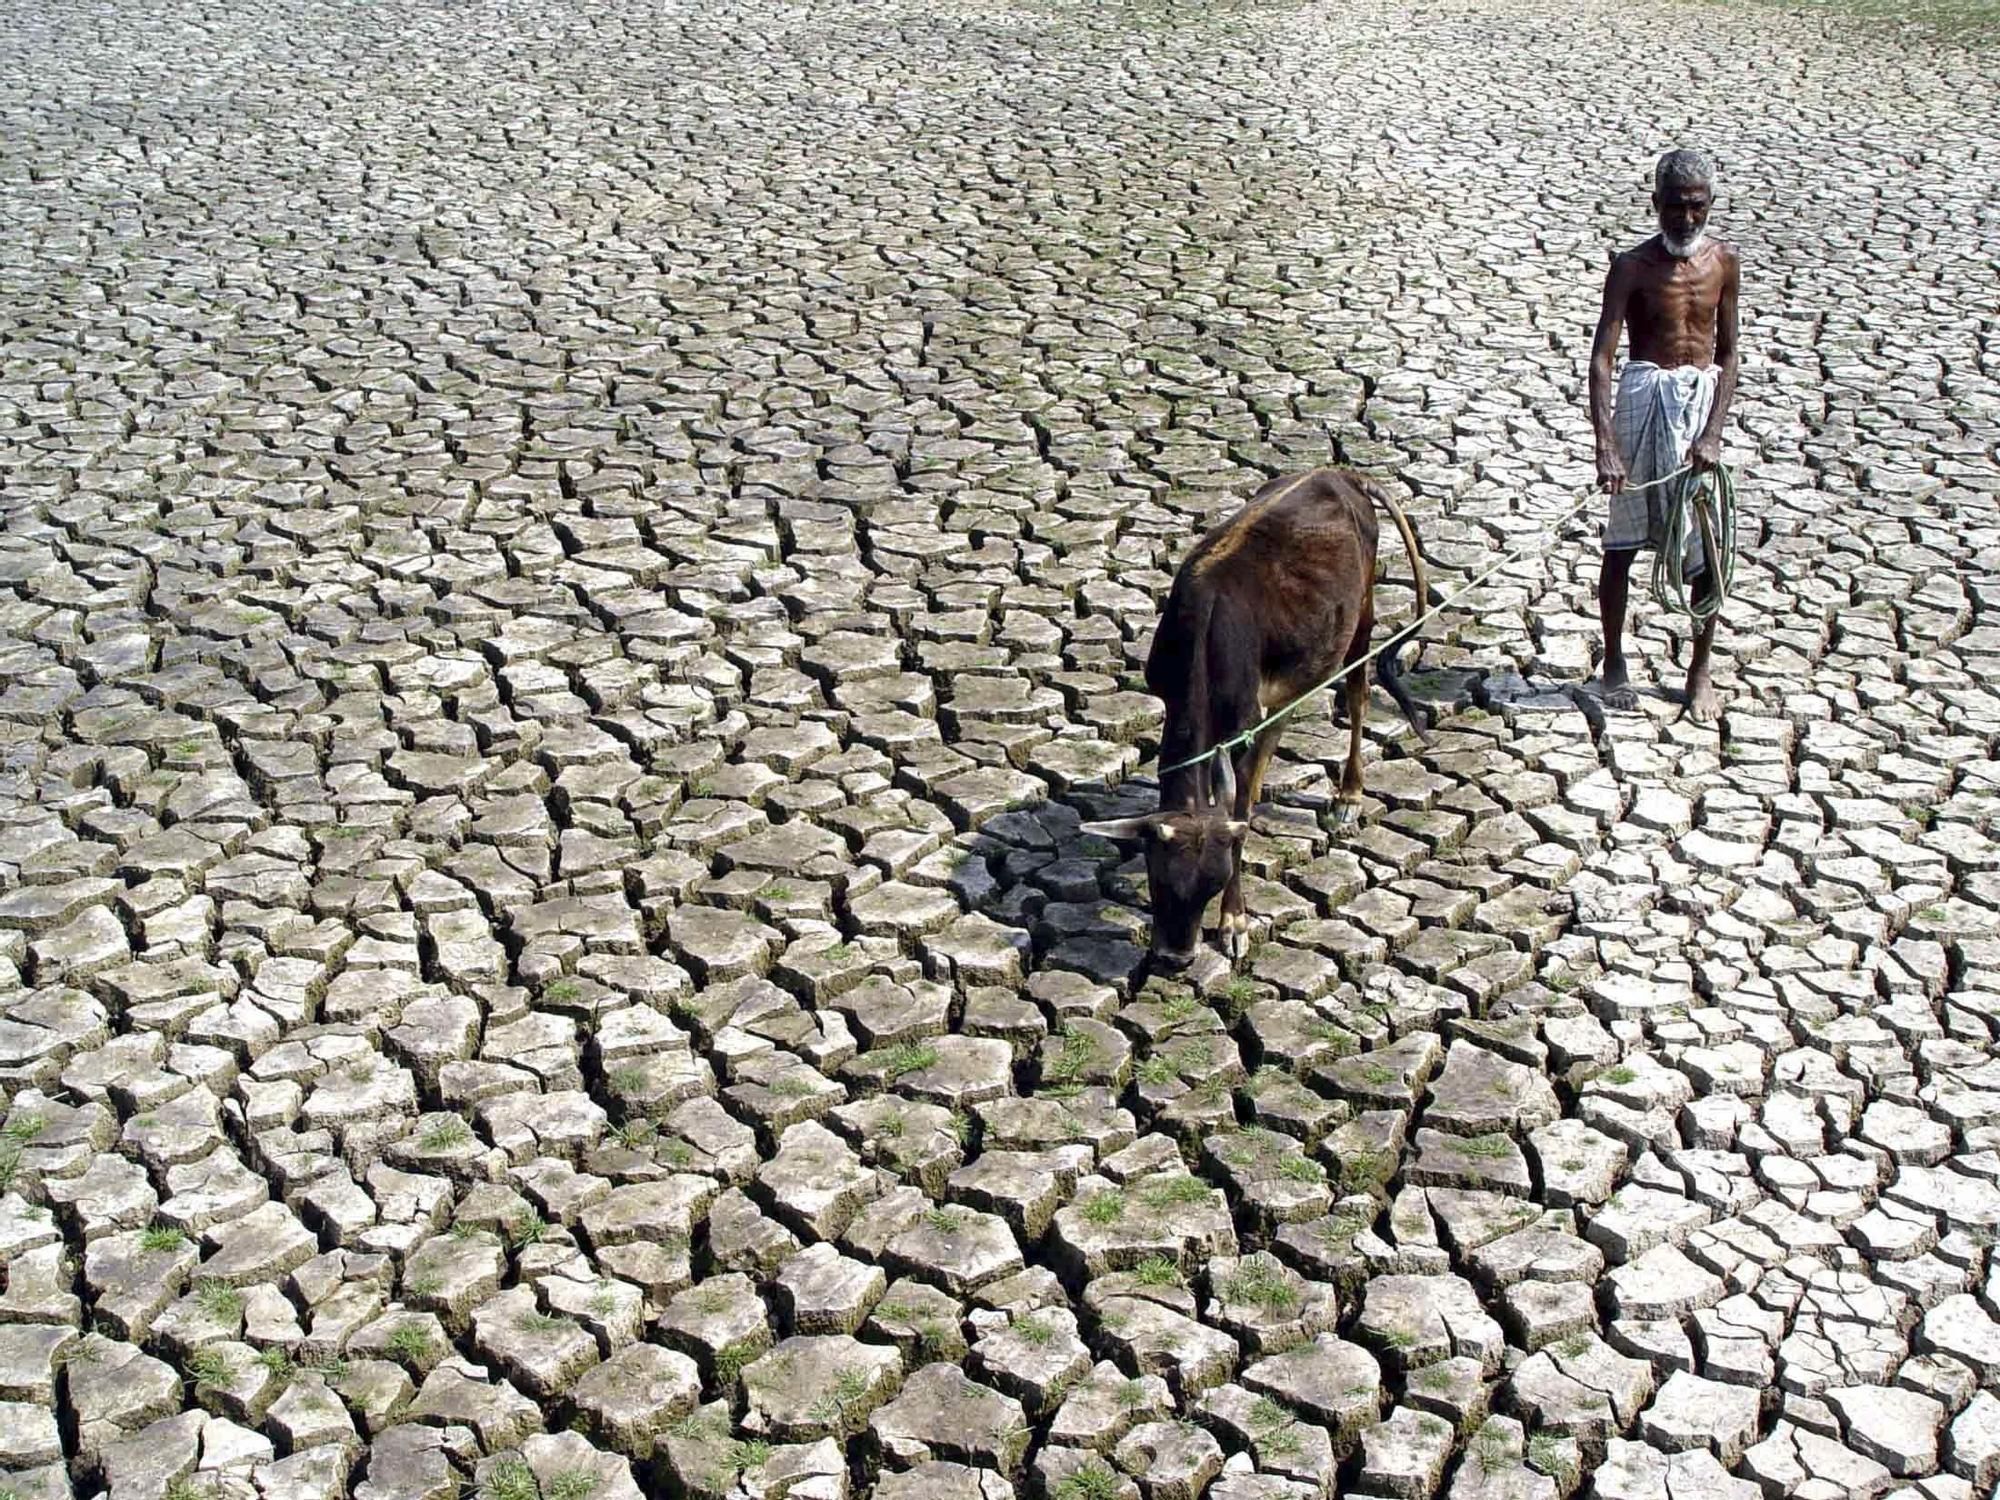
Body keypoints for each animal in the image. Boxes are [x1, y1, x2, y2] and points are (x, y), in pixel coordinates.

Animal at [1088, 470, 1432, 976]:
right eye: (1157, 879)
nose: (1176, 960)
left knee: (1358, 694)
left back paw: (1348, 795)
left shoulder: (1245, 722)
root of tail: (1341, 474)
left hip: (1361, 616)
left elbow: (1241, 805)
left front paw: (1235, 923)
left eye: (1215, 885)